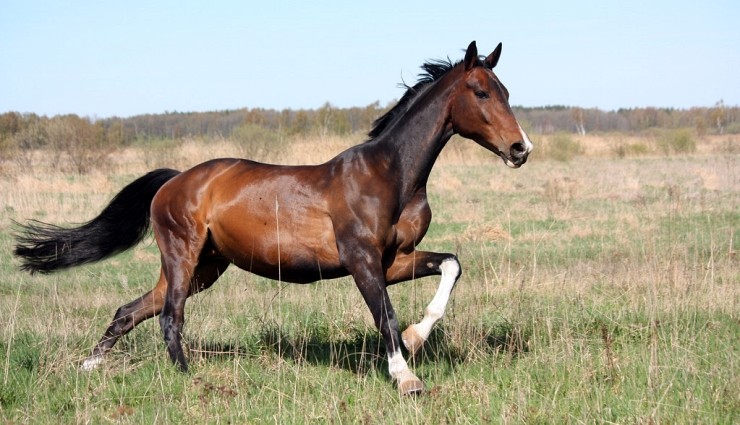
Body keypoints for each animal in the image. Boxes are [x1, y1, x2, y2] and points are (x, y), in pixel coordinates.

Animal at [11, 40, 532, 394]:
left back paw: (88, 367)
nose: (520, 149)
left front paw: (417, 338)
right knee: (170, 317)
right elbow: (384, 314)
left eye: (505, 90)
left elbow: (451, 266)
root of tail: (175, 180)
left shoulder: (395, 260)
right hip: (183, 256)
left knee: (133, 311)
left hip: (205, 267)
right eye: (481, 92)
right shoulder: (362, 261)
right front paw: (406, 377)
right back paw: (189, 378)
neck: (392, 174)